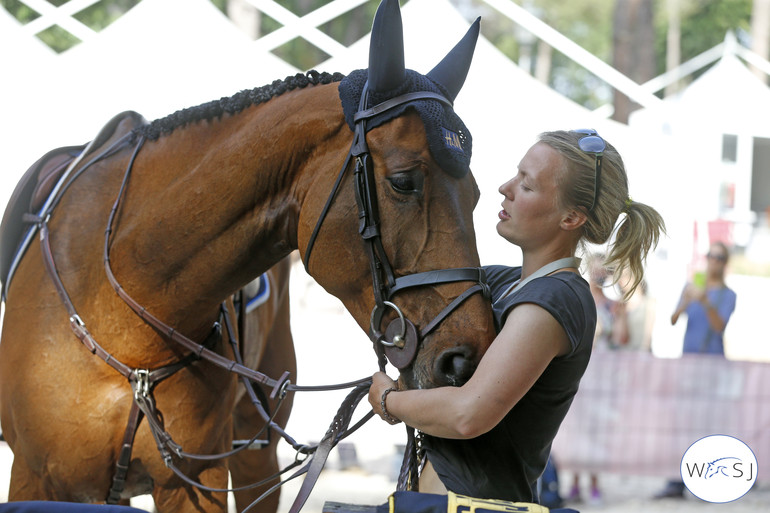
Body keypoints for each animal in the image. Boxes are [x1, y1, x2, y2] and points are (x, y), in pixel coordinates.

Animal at [0, 2, 492, 510]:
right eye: (403, 181)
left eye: (476, 195)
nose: (467, 359)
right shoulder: (33, 478)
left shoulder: (196, 483)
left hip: (259, 454)